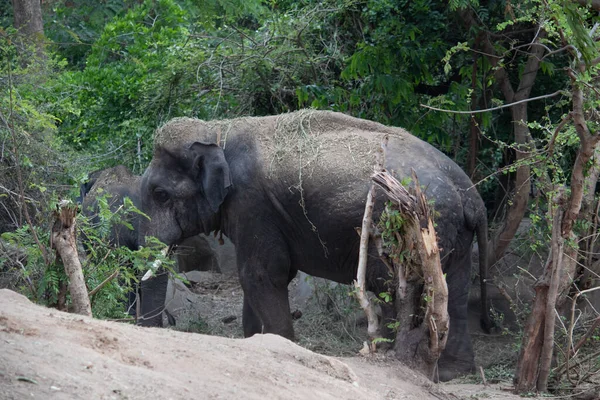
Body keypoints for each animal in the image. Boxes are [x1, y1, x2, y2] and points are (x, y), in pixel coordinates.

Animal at [138, 110, 490, 382]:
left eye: (160, 194)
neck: (217, 130)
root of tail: (472, 195)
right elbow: (258, 278)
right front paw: (255, 341)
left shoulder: (251, 204)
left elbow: (262, 275)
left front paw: (281, 344)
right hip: (451, 233)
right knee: (454, 290)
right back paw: (450, 373)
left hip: (412, 226)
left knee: (395, 286)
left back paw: (394, 358)